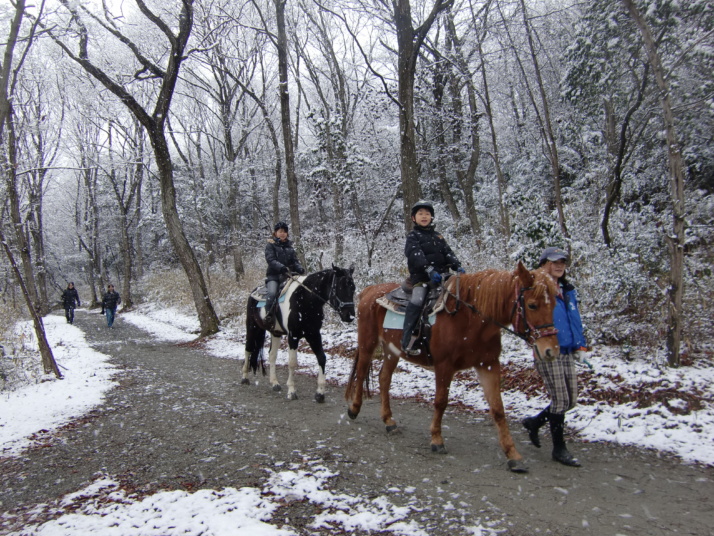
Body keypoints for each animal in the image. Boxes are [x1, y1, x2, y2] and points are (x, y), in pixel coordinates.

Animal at [242, 264, 356, 402]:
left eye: (353, 288)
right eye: (340, 287)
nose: (350, 316)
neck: (306, 299)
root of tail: (253, 292)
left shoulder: (314, 334)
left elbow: (322, 358)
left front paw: (320, 393)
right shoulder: (293, 336)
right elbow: (292, 362)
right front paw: (291, 391)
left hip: (276, 333)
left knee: (272, 355)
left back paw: (275, 383)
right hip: (252, 327)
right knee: (248, 349)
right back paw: (244, 378)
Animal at [344, 264, 556, 474]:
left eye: (554, 303)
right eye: (532, 305)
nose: (550, 350)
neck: (471, 318)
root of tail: (369, 291)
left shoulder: (488, 365)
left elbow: (497, 409)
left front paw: (513, 455)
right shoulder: (444, 365)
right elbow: (441, 402)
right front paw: (437, 439)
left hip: (391, 350)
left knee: (384, 378)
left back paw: (389, 421)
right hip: (368, 344)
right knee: (361, 372)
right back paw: (354, 409)